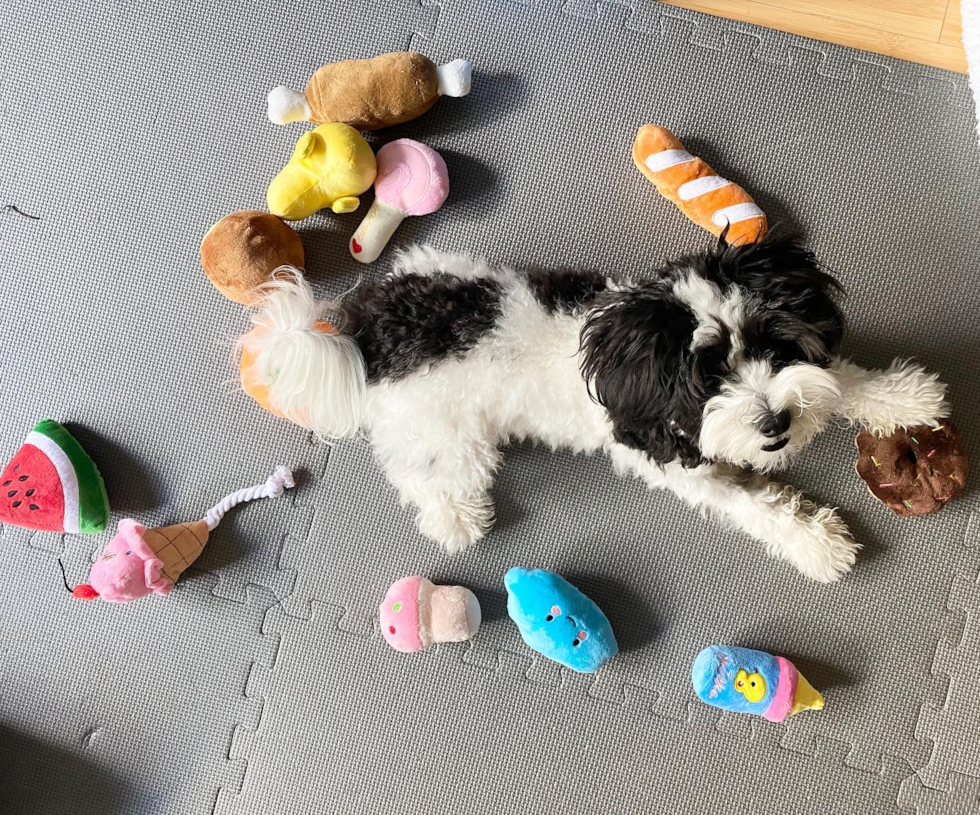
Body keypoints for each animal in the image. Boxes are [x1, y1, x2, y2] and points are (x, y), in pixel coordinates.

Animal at [243, 233, 948, 584]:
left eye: (773, 343)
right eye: (706, 378)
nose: (777, 424)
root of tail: (365, 329)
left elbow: (836, 380)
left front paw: (902, 396)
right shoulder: (674, 460)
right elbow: (759, 507)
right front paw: (819, 545)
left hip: (440, 265)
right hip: (448, 434)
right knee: (417, 472)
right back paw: (455, 518)